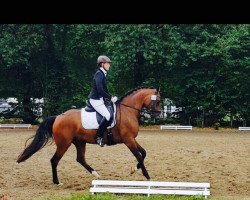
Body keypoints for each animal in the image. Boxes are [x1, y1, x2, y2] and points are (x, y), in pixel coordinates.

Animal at [16, 86, 161, 185]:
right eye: (158, 101)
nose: (158, 115)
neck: (128, 110)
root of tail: (58, 116)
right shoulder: (128, 140)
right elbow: (139, 156)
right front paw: (147, 176)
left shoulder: (132, 139)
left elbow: (144, 153)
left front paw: (134, 170)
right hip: (64, 144)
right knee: (54, 160)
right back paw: (57, 182)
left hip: (80, 142)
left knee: (80, 159)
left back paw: (96, 174)